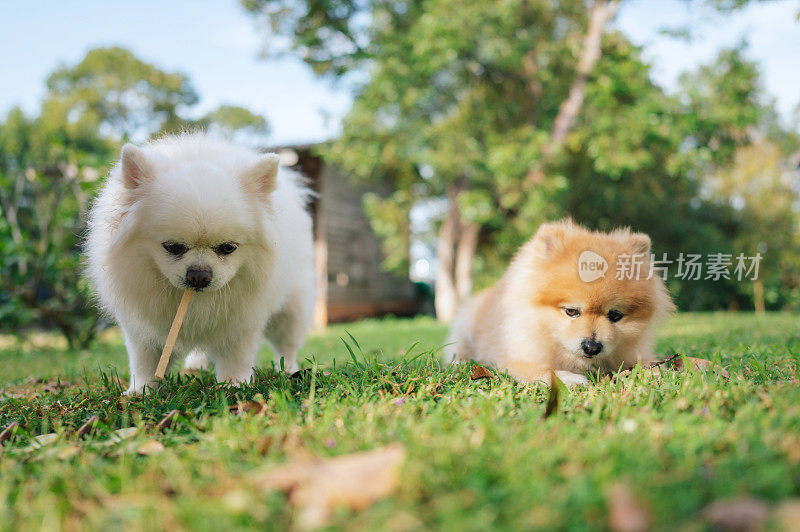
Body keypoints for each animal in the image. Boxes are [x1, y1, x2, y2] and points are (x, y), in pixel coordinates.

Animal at [85, 131, 316, 392]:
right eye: (172, 247)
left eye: (228, 248)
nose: (199, 275)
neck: (197, 302)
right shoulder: (141, 328)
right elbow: (144, 359)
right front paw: (140, 390)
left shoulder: (241, 323)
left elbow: (236, 356)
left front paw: (234, 385)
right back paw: (197, 365)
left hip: (291, 310)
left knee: (286, 345)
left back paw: (288, 370)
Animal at [446, 218, 672, 384]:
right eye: (571, 311)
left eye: (615, 315)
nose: (592, 347)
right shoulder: (515, 358)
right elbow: (543, 370)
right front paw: (571, 378)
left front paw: (657, 372)